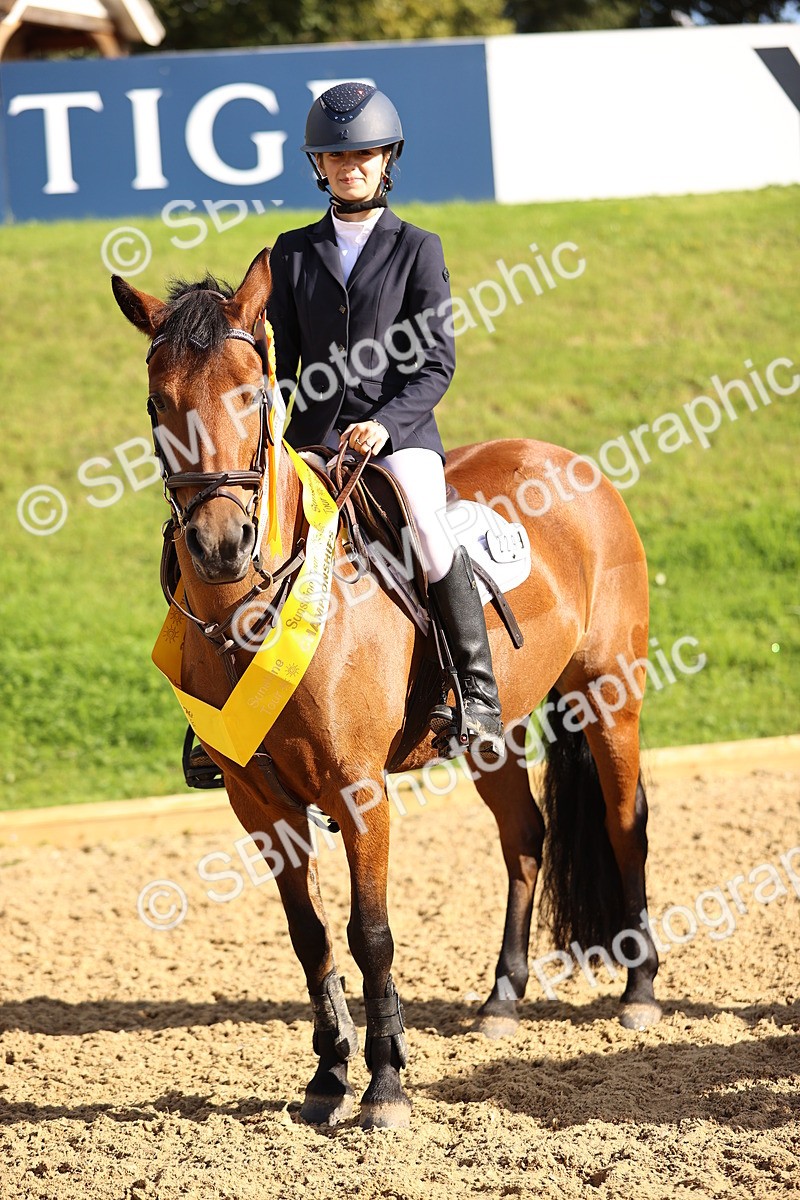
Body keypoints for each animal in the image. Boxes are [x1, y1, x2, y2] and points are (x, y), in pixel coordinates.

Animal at [112, 247, 661, 1131]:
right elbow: (309, 937)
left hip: (609, 692)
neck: (252, 610)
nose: (221, 544)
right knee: (524, 837)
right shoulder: (256, 801)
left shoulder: (359, 788)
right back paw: (502, 1000)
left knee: (623, 822)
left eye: (253, 393)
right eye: (159, 401)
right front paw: (326, 1076)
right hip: (495, 735)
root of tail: (569, 461)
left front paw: (385, 1083)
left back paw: (640, 990)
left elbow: (370, 931)